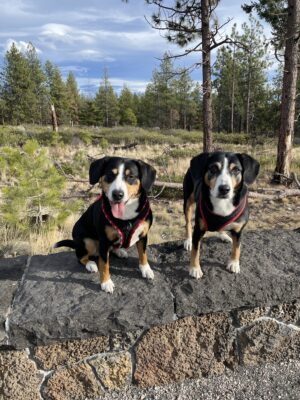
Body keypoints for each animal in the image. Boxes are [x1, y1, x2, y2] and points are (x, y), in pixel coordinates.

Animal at [54, 156, 157, 294]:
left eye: (130, 176)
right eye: (110, 175)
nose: (117, 194)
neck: (126, 216)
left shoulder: (143, 235)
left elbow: (143, 254)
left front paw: (145, 269)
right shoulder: (104, 241)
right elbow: (104, 264)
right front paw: (106, 282)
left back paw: (120, 251)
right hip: (87, 241)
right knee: (80, 256)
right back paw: (90, 264)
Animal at [183, 152, 260, 280]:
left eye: (236, 170)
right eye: (213, 168)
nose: (224, 189)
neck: (222, 203)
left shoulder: (238, 230)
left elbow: (237, 247)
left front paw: (234, 263)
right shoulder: (198, 229)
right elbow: (195, 250)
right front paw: (195, 268)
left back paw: (224, 236)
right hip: (188, 201)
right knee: (188, 222)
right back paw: (188, 240)